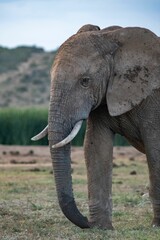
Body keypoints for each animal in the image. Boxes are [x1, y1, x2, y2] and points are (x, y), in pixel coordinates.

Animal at [31, 23, 160, 229]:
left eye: (85, 81)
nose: (85, 221)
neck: (112, 38)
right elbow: (95, 148)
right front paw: (101, 228)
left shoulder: (153, 98)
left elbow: (155, 149)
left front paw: (156, 226)